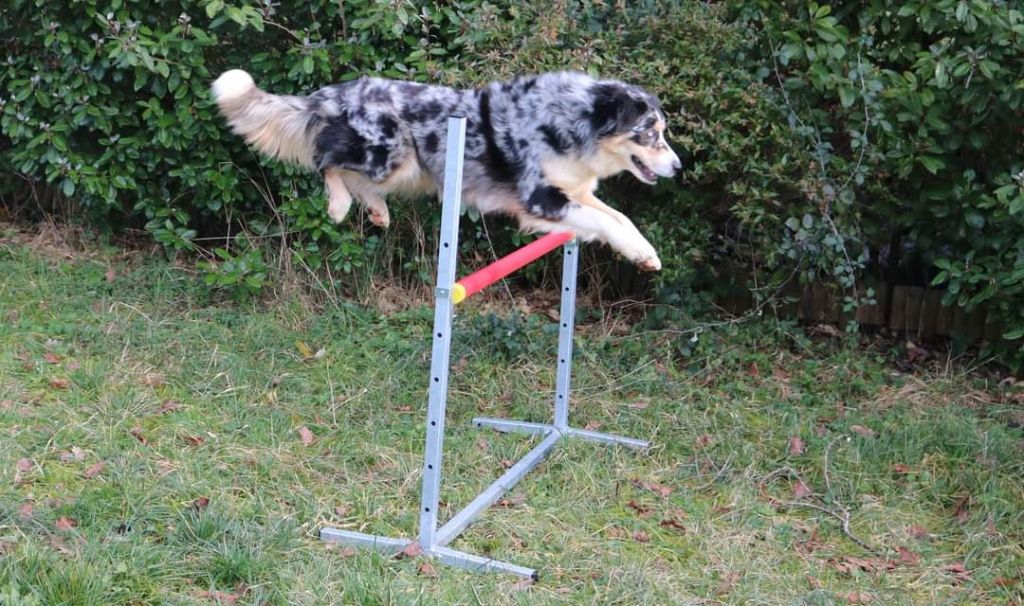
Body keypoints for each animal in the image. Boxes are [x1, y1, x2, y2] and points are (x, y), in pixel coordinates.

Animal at [212, 69, 681, 271]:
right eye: (649, 133)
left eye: (662, 131)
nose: (678, 166)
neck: (572, 120)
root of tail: (331, 92)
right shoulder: (540, 199)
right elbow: (608, 224)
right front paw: (641, 254)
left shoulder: (576, 193)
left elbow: (620, 218)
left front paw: (647, 252)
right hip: (388, 154)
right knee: (325, 159)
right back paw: (339, 206)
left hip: (405, 167)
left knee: (353, 175)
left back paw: (377, 211)